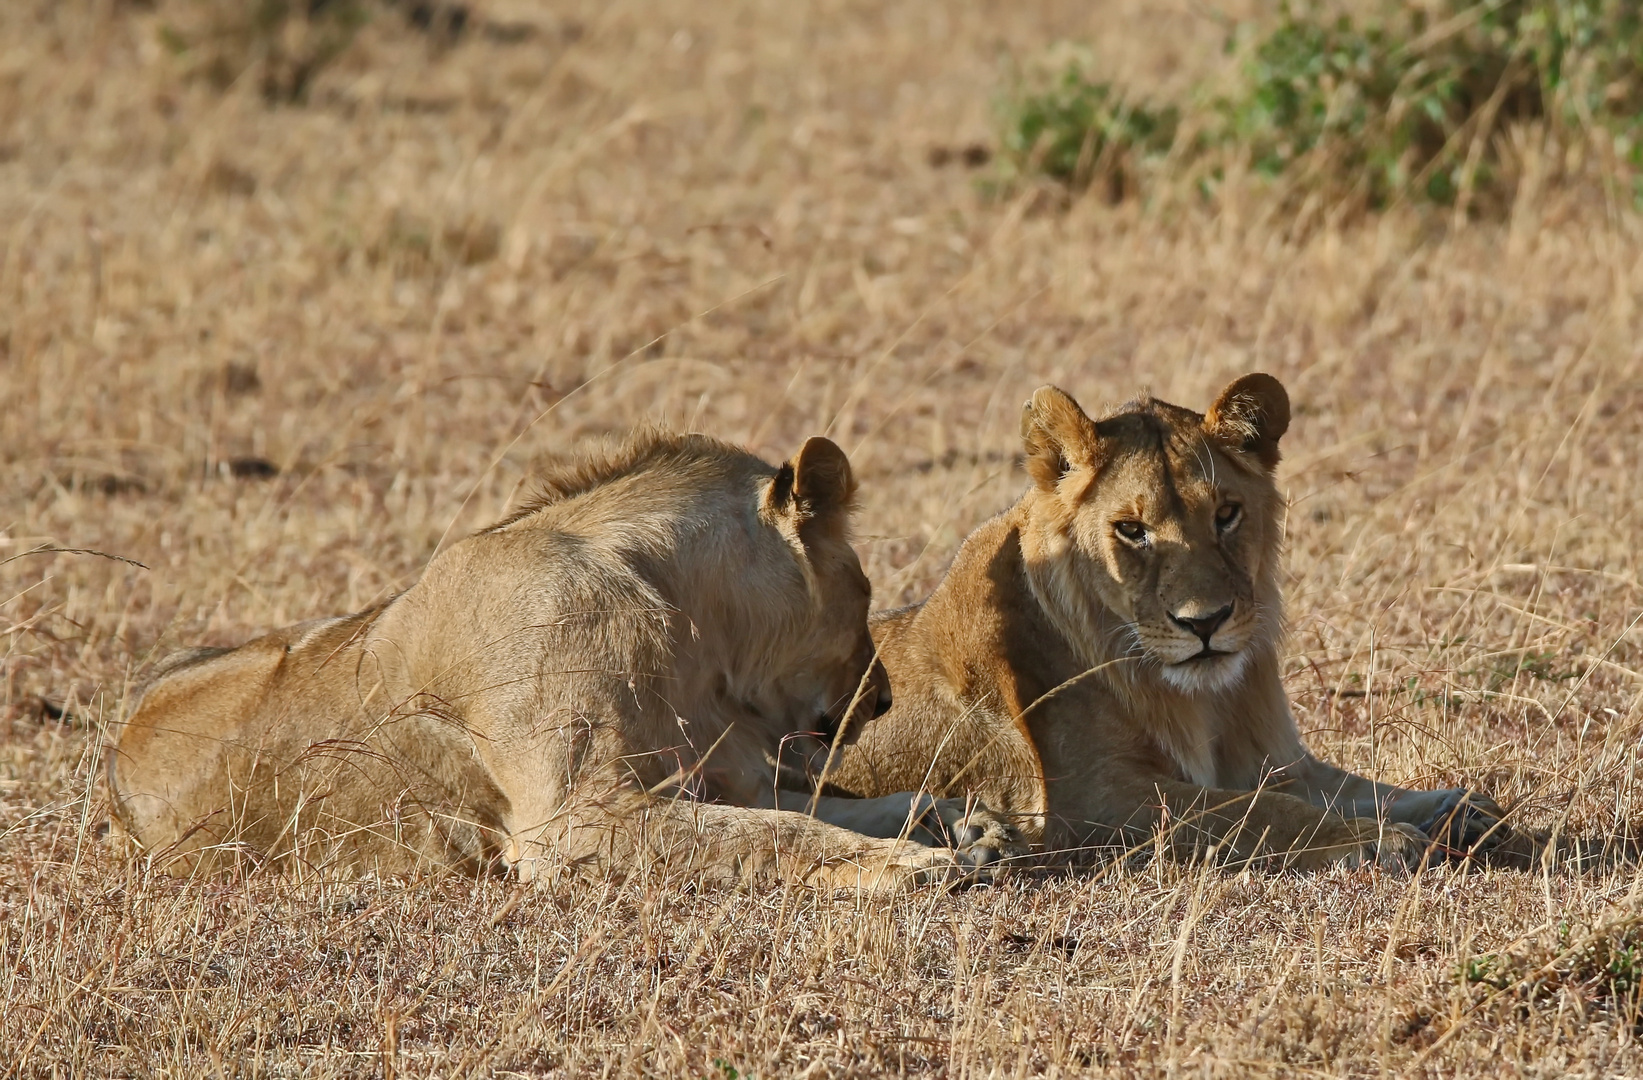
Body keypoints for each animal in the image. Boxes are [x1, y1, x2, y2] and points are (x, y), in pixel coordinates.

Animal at [109, 430, 1012, 894]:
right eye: (863, 591)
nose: (883, 698)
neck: (692, 638)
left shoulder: (724, 777)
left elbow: (838, 807)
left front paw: (961, 821)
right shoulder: (571, 819)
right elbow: (786, 835)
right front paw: (921, 863)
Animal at [818, 374, 1537, 874]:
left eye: (1225, 514)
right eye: (1131, 531)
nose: (1206, 622)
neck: (1203, 699)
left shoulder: (1279, 760)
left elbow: (1362, 788)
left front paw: (1462, 811)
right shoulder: (1096, 800)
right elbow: (1257, 811)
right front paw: (1375, 840)